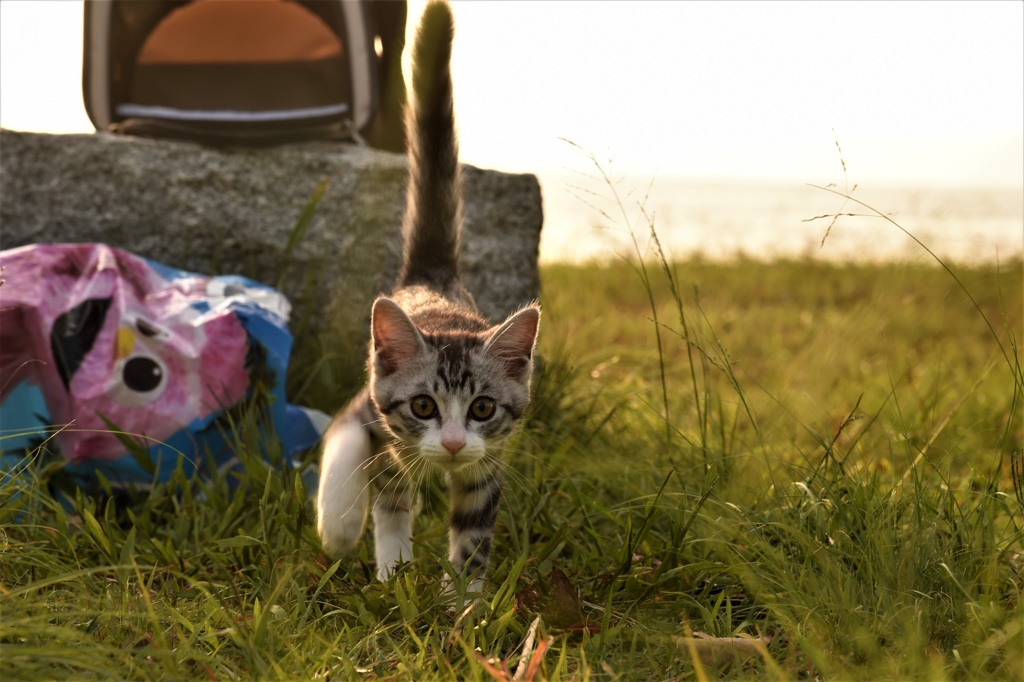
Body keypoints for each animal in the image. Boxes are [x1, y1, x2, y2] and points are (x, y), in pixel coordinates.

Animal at [315, 0, 540, 593]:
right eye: (423, 405)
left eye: (482, 408)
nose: (455, 443)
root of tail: (432, 279)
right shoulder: (369, 404)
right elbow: (344, 445)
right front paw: (339, 525)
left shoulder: (488, 463)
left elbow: (472, 534)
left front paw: (462, 603)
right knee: (392, 493)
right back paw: (390, 562)